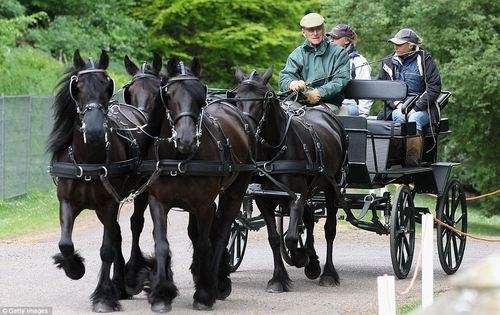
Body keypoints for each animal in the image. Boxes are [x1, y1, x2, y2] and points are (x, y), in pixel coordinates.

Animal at [48, 50, 150, 312]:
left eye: (107, 86)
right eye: (77, 87)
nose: (93, 131)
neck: (88, 159)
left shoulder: (109, 204)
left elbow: (106, 250)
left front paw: (103, 297)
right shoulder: (67, 202)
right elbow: (65, 243)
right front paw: (73, 267)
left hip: (142, 192)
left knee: (135, 225)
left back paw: (131, 276)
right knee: (117, 234)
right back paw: (120, 283)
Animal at [138, 57, 252, 314]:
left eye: (200, 96)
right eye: (168, 95)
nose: (186, 139)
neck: (179, 158)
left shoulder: (203, 205)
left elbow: (204, 244)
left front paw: (204, 294)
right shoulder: (157, 201)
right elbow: (162, 243)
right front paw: (161, 294)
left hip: (235, 191)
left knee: (220, 233)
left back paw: (216, 282)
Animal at [233, 68, 348, 292]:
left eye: (262, 101)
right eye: (237, 99)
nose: (245, 131)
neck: (276, 151)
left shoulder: (296, 197)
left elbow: (292, 237)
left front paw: (300, 258)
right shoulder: (264, 199)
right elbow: (275, 238)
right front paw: (279, 278)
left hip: (331, 186)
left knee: (329, 229)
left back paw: (328, 273)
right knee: (309, 219)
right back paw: (313, 262)